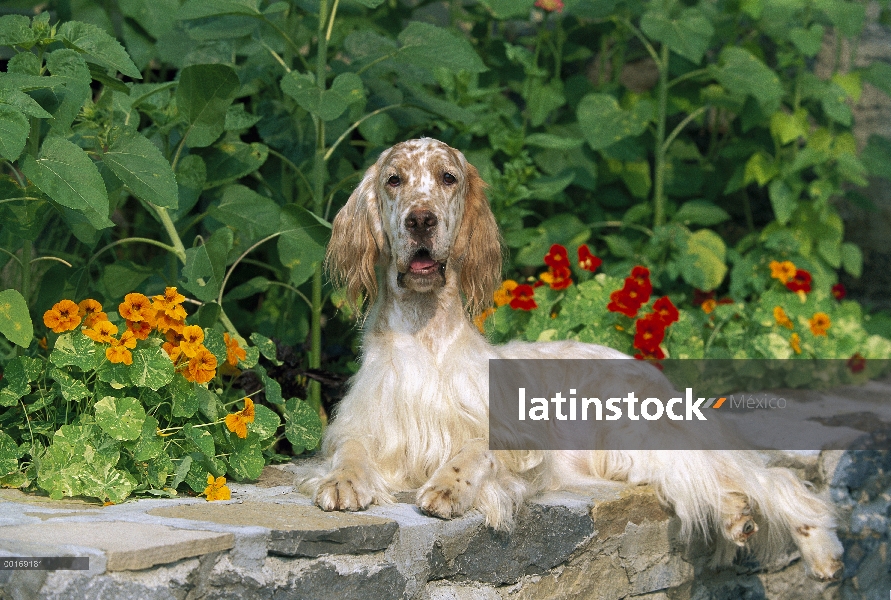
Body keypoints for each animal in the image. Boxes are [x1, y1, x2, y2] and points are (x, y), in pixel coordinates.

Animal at [312, 137, 844, 580]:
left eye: (447, 177)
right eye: (394, 179)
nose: (420, 220)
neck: (424, 334)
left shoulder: (519, 438)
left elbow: (475, 448)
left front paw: (449, 485)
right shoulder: (364, 423)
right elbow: (350, 450)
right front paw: (342, 481)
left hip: (642, 428)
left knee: (772, 479)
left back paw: (819, 552)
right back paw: (738, 518)